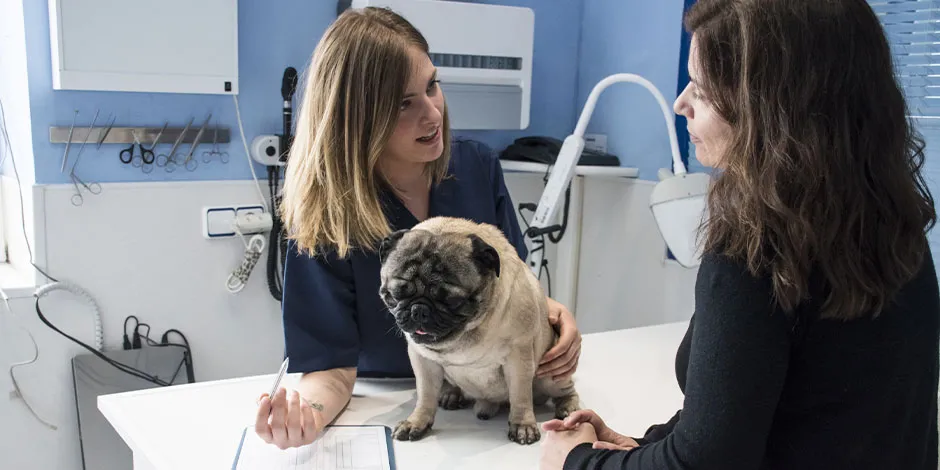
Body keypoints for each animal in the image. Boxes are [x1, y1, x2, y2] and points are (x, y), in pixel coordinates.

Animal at [378, 217, 576, 444]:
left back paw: (568, 407)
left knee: (565, 391)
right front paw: (417, 422)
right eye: (396, 294)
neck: (467, 333)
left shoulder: (519, 358)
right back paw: (452, 394)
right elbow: (425, 396)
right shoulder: (424, 362)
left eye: (453, 300)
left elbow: (520, 395)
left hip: (550, 377)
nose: (419, 310)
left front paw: (523, 425)